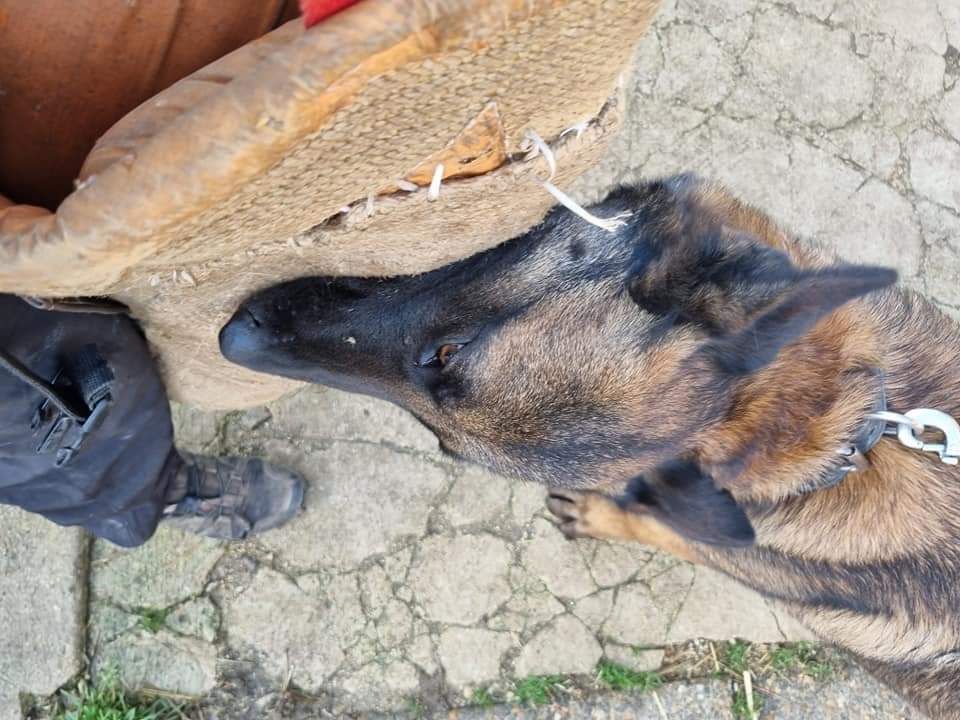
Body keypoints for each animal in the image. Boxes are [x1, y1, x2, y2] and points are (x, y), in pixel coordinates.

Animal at [219, 176, 960, 720]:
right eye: (438, 440)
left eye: (448, 353)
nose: (232, 340)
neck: (857, 433)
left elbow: (652, 523)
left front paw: (601, 514)